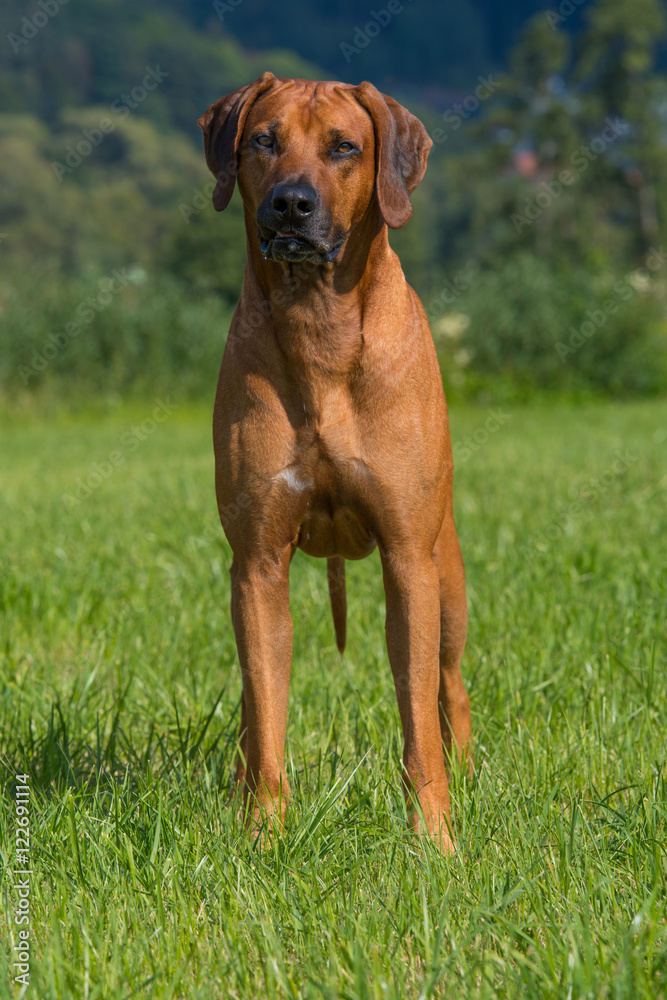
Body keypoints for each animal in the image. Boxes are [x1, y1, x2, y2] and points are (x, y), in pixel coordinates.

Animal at [197, 72, 470, 852]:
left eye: (344, 147)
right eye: (263, 140)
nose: (292, 202)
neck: (317, 322)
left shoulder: (409, 559)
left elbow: (418, 721)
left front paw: (434, 842)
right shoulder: (256, 563)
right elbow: (267, 714)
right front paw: (262, 835)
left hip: (448, 580)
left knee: (451, 687)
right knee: (253, 708)